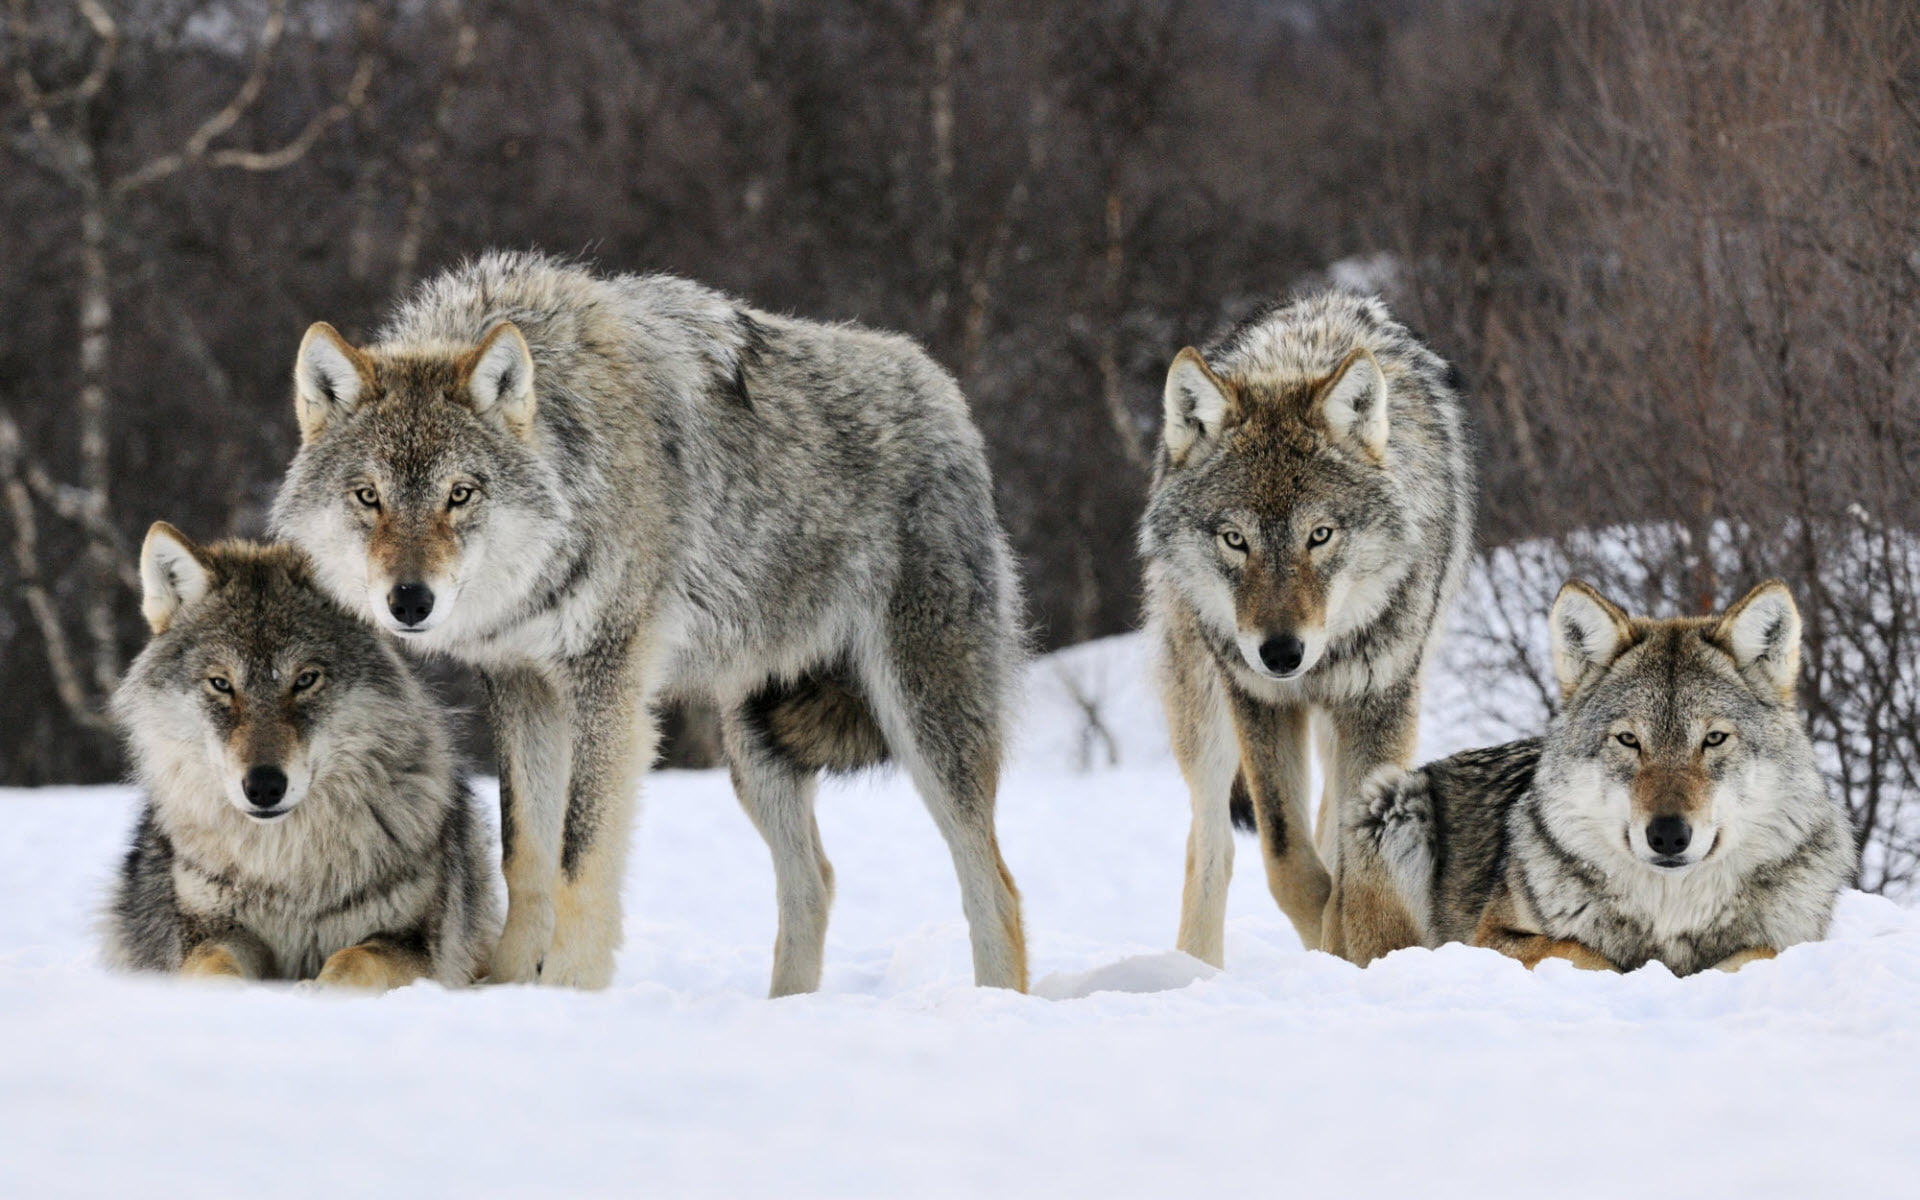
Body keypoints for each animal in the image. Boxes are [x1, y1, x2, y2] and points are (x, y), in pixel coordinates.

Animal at [104, 524, 498, 989]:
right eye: (221, 684)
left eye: (306, 680)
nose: (264, 786)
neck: (287, 868)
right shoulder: (212, 932)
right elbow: (213, 967)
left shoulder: (413, 944)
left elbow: (354, 959)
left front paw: (318, 992)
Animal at [270, 251, 1026, 995]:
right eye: (368, 496)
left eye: (460, 494)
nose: (409, 601)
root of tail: (943, 391)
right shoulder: (521, 686)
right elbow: (525, 854)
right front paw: (509, 987)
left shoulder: (608, 684)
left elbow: (579, 857)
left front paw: (568, 991)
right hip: (755, 749)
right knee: (815, 881)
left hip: (924, 721)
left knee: (995, 886)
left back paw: (995, 1002)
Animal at [1139, 291, 1473, 967]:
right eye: (1234, 539)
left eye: (1319, 535)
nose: (1281, 653)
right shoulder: (1259, 700)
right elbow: (1287, 858)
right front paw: (1327, 938)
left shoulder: (1381, 700)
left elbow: (1351, 860)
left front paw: (1351, 946)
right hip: (1204, 710)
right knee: (1210, 843)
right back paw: (1194, 970)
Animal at [1349, 579, 1857, 975]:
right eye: (1629, 740)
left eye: (1713, 739)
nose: (1667, 835)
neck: (1670, 914)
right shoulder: (1490, 937)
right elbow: (1583, 952)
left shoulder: (1792, 941)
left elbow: (1758, 953)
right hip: (1392, 802)